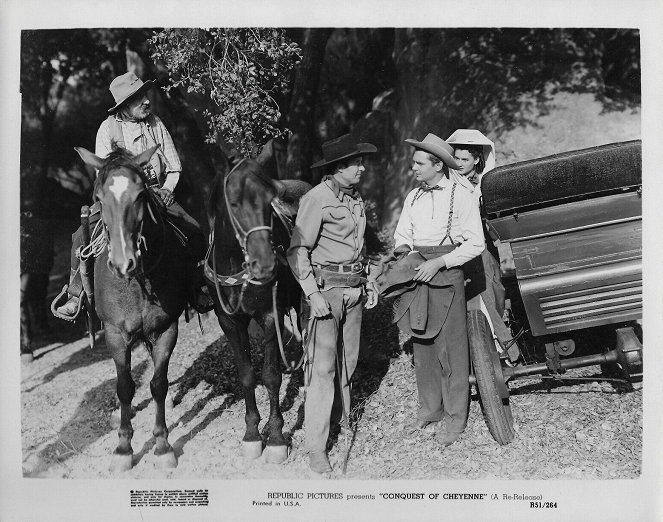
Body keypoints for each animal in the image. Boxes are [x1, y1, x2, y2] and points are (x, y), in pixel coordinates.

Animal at [76, 143, 189, 472]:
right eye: (99, 198)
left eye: (140, 195)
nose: (122, 262)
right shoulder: (115, 334)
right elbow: (125, 386)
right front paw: (123, 449)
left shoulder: (166, 328)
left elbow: (158, 384)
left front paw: (163, 446)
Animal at [206, 155, 310, 464]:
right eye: (233, 202)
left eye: (269, 201)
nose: (265, 264)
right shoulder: (229, 322)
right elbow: (247, 375)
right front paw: (252, 432)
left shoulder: (270, 316)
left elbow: (271, 376)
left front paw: (275, 437)